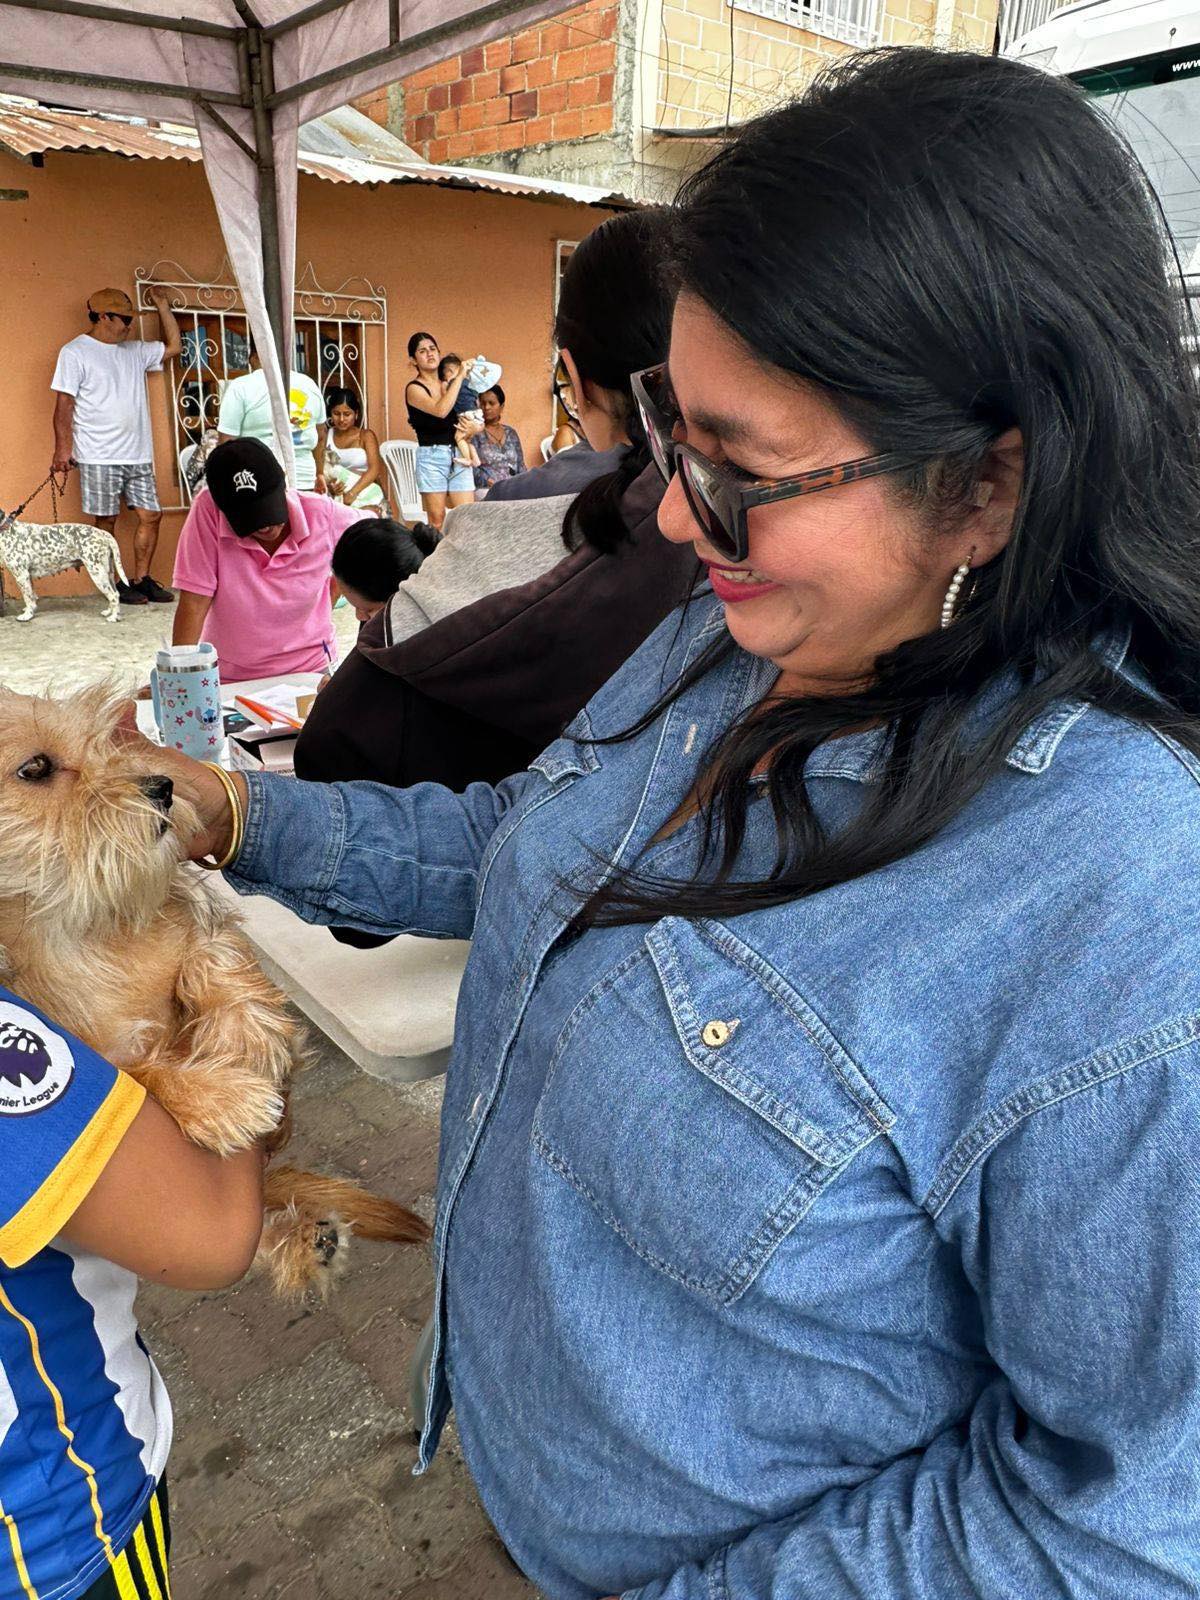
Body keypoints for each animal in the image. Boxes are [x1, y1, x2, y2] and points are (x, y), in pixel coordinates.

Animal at [0, 518, 129, 623]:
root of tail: (103, 533)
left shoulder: (21, 575)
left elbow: (27, 597)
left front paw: (27, 615)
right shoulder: (27, 576)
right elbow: (31, 596)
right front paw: (29, 609)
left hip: (97, 573)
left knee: (113, 595)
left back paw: (113, 617)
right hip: (108, 573)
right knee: (115, 593)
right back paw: (109, 612)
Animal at [0, 684, 429, 1294]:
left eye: (109, 744)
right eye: (34, 767)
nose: (162, 786)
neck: (76, 930)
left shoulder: (197, 928)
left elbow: (209, 960)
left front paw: (247, 1041)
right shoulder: (105, 1050)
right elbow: (142, 1068)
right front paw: (218, 1098)